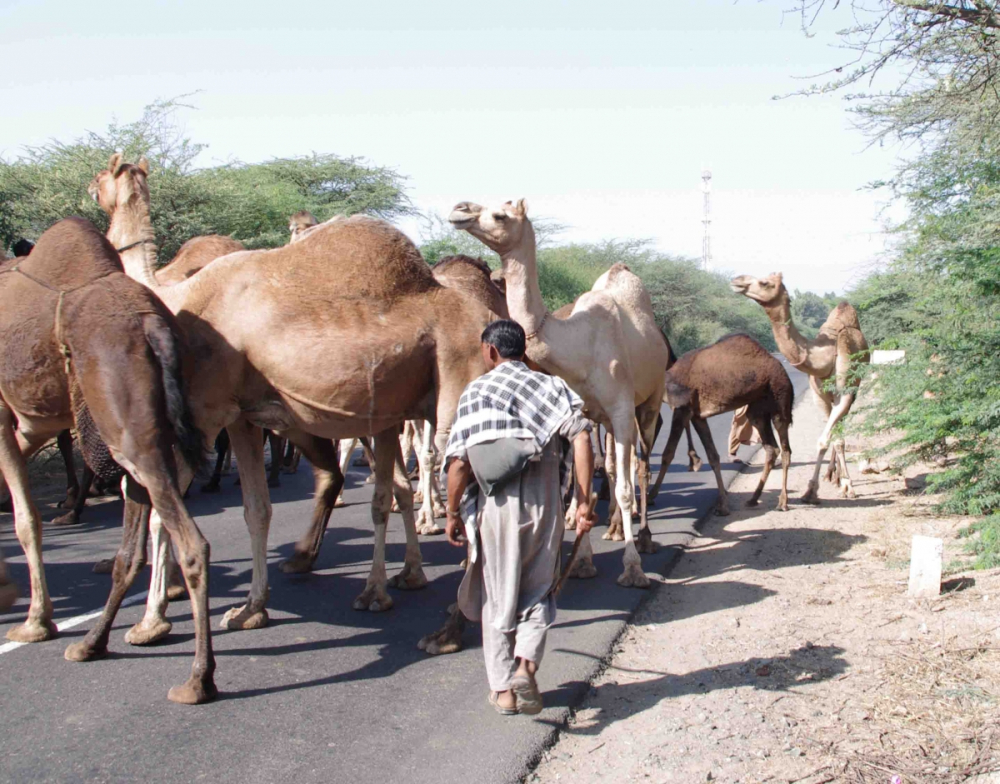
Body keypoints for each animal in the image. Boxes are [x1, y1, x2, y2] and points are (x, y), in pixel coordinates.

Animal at [0, 217, 214, 704]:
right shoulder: (30, 424)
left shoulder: (4, 415)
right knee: (131, 548)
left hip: (128, 433)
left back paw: (198, 678)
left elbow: (25, 518)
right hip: (143, 432)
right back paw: (93, 642)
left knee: (192, 543)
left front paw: (34, 620)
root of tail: (153, 324)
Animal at [88, 156, 493, 638]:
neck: (179, 295)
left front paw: (149, 622)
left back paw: (448, 627)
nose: (90, 188)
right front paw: (249, 609)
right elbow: (256, 510)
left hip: (457, 377)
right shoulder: (240, 417)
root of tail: (489, 321)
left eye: (102, 179)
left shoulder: (204, 412)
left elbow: (158, 516)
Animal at [450, 199, 669, 588]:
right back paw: (615, 527)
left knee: (641, 465)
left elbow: (626, 488)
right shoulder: (585, 413)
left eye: (501, 215)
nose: (460, 209)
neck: (578, 344)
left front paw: (632, 568)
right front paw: (581, 562)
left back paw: (644, 538)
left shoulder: (622, 408)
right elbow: (587, 480)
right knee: (614, 466)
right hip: (611, 420)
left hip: (650, 401)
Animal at [648, 334, 794, 513]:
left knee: (785, 449)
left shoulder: (682, 408)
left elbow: (668, 453)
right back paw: (753, 498)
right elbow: (713, 456)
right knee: (772, 448)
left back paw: (783, 502)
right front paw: (723, 504)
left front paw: (650, 496)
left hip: (780, 399)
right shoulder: (697, 416)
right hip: (758, 410)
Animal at [730, 273, 869, 502]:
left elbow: (827, 439)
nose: (737, 280)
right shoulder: (818, 397)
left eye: (765, 283)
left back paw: (840, 479)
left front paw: (846, 486)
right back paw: (833, 475)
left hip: (853, 390)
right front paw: (812, 490)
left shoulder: (845, 394)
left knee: (839, 429)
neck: (823, 357)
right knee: (836, 430)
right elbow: (831, 438)